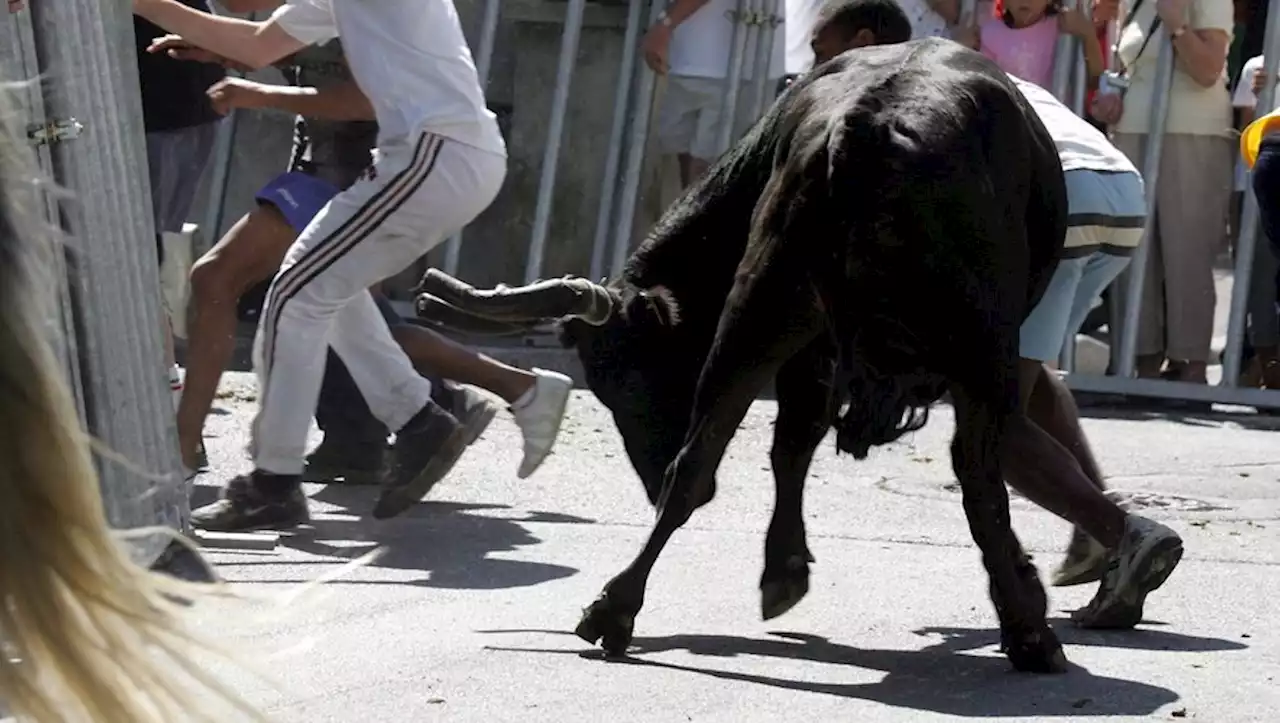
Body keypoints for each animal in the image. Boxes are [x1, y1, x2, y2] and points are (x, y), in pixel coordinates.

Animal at [414, 39, 1064, 670]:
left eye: (627, 381)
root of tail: (870, 123)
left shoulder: (808, 348)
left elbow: (790, 446)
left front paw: (783, 568)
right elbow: (801, 444)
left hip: (759, 312)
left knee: (694, 464)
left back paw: (615, 610)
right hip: (981, 347)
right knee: (979, 479)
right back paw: (1029, 631)